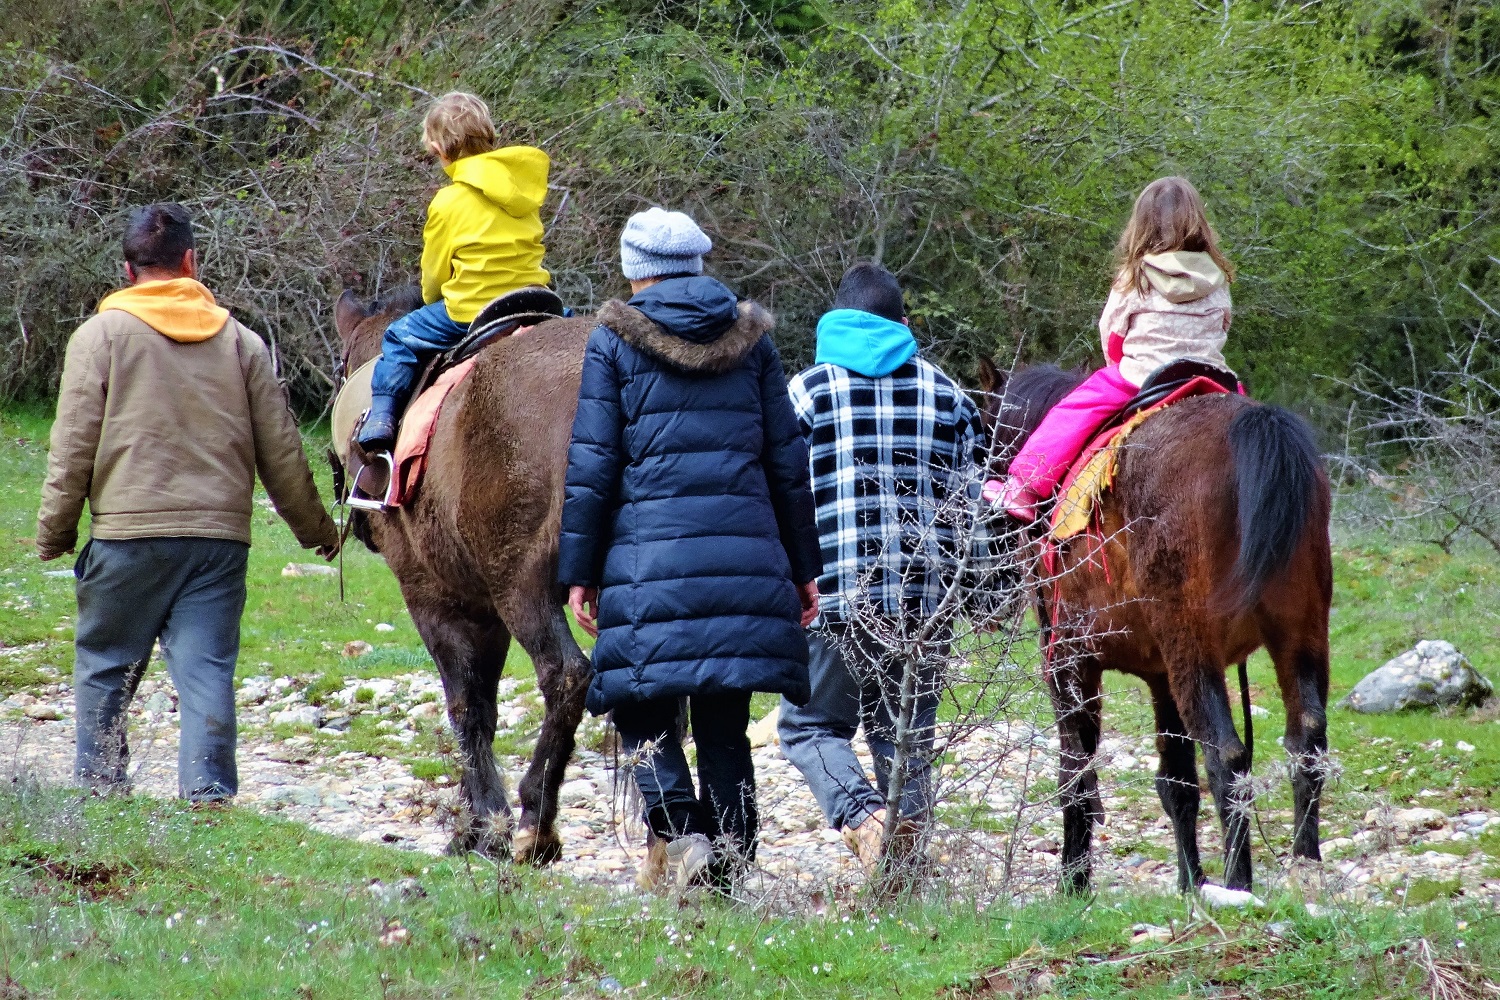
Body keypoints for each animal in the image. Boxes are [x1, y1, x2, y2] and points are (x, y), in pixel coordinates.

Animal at [331, 288, 595, 863]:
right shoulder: (485, 608)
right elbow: (483, 707)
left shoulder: (438, 597)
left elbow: (466, 705)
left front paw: (484, 823)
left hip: (523, 585)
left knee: (567, 675)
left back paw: (536, 820)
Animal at [977, 359, 1332, 894]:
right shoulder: (1161, 675)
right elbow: (1176, 782)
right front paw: (1189, 883)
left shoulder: (1069, 660)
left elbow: (1075, 773)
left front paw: (1074, 883)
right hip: (1300, 636)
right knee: (1306, 742)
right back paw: (1303, 868)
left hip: (1194, 651)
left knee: (1227, 757)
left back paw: (1238, 884)